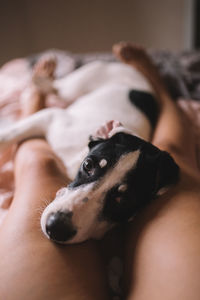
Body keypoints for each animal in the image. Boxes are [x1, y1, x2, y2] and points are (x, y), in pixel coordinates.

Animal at [0, 42, 179, 244]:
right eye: (88, 165)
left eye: (123, 200)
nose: (56, 228)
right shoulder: (52, 118)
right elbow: (7, 135)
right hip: (84, 79)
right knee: (58, 87)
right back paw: (42, 77)